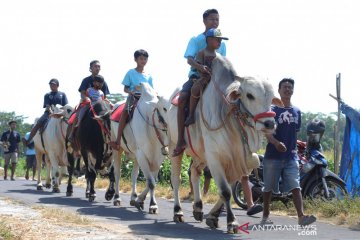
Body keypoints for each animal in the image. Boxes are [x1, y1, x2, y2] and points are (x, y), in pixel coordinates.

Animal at [111, 82, 169, 214]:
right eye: (164, 108)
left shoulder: (158, 158)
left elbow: (152, 181)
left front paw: (139, 200)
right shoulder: (142, 155)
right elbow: (151, 183)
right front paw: (152, 205)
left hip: (136, 157)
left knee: (134, 175)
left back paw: (133, 197)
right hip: (117, 149)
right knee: (117, 173)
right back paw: (116, 198)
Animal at [160, 55, 282, 232]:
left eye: (271, 96)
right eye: (250, 95)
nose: (269, 124)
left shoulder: (237, 161)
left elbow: (227, 189)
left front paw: (213, 216)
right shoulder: (215, 158)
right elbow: (225, 191)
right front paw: (231, 222)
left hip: (200, 153)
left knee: (194, 172)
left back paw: (198, 208)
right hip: (174, 146)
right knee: (176, 179)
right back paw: (178, 212)